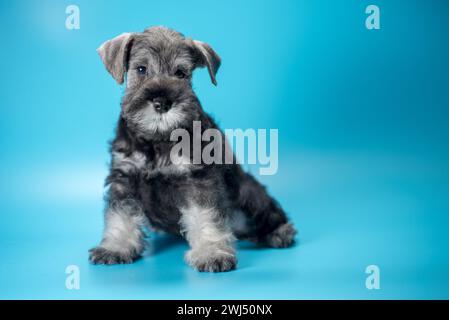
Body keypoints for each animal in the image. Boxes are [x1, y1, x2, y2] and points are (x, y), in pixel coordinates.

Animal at [89, 26, 296, 272]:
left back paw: (281, 233)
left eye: (180, 73)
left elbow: (205, 216)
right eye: (141, 69)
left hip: (248, 194)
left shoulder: (198, 180)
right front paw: (115, 247)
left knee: (268, 212)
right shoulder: (124, 178)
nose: (162, 103)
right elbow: (121, 215)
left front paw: (212, 253)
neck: (158, 140)